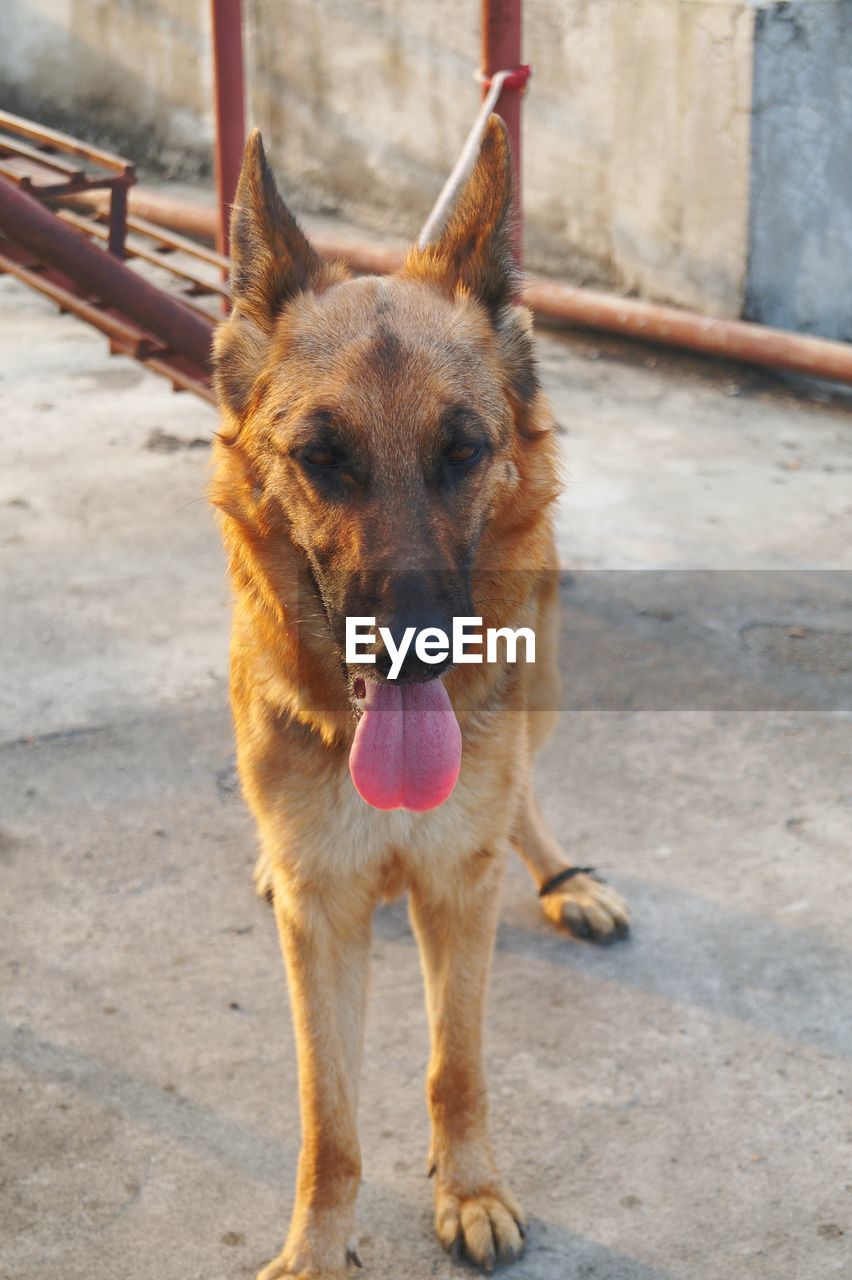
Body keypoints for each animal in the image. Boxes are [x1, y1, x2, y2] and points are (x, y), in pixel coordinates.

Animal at [208, 115, 626, 1274]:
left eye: (464, 450)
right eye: (321, 456)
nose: (417, 650)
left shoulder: (455, 893)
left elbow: (457, 1065)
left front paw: (471, 1189)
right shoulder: (321, 920)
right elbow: (329, 1117)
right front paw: (316, 1247)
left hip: (544, 686)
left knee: (518, 796)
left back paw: (564, 873)